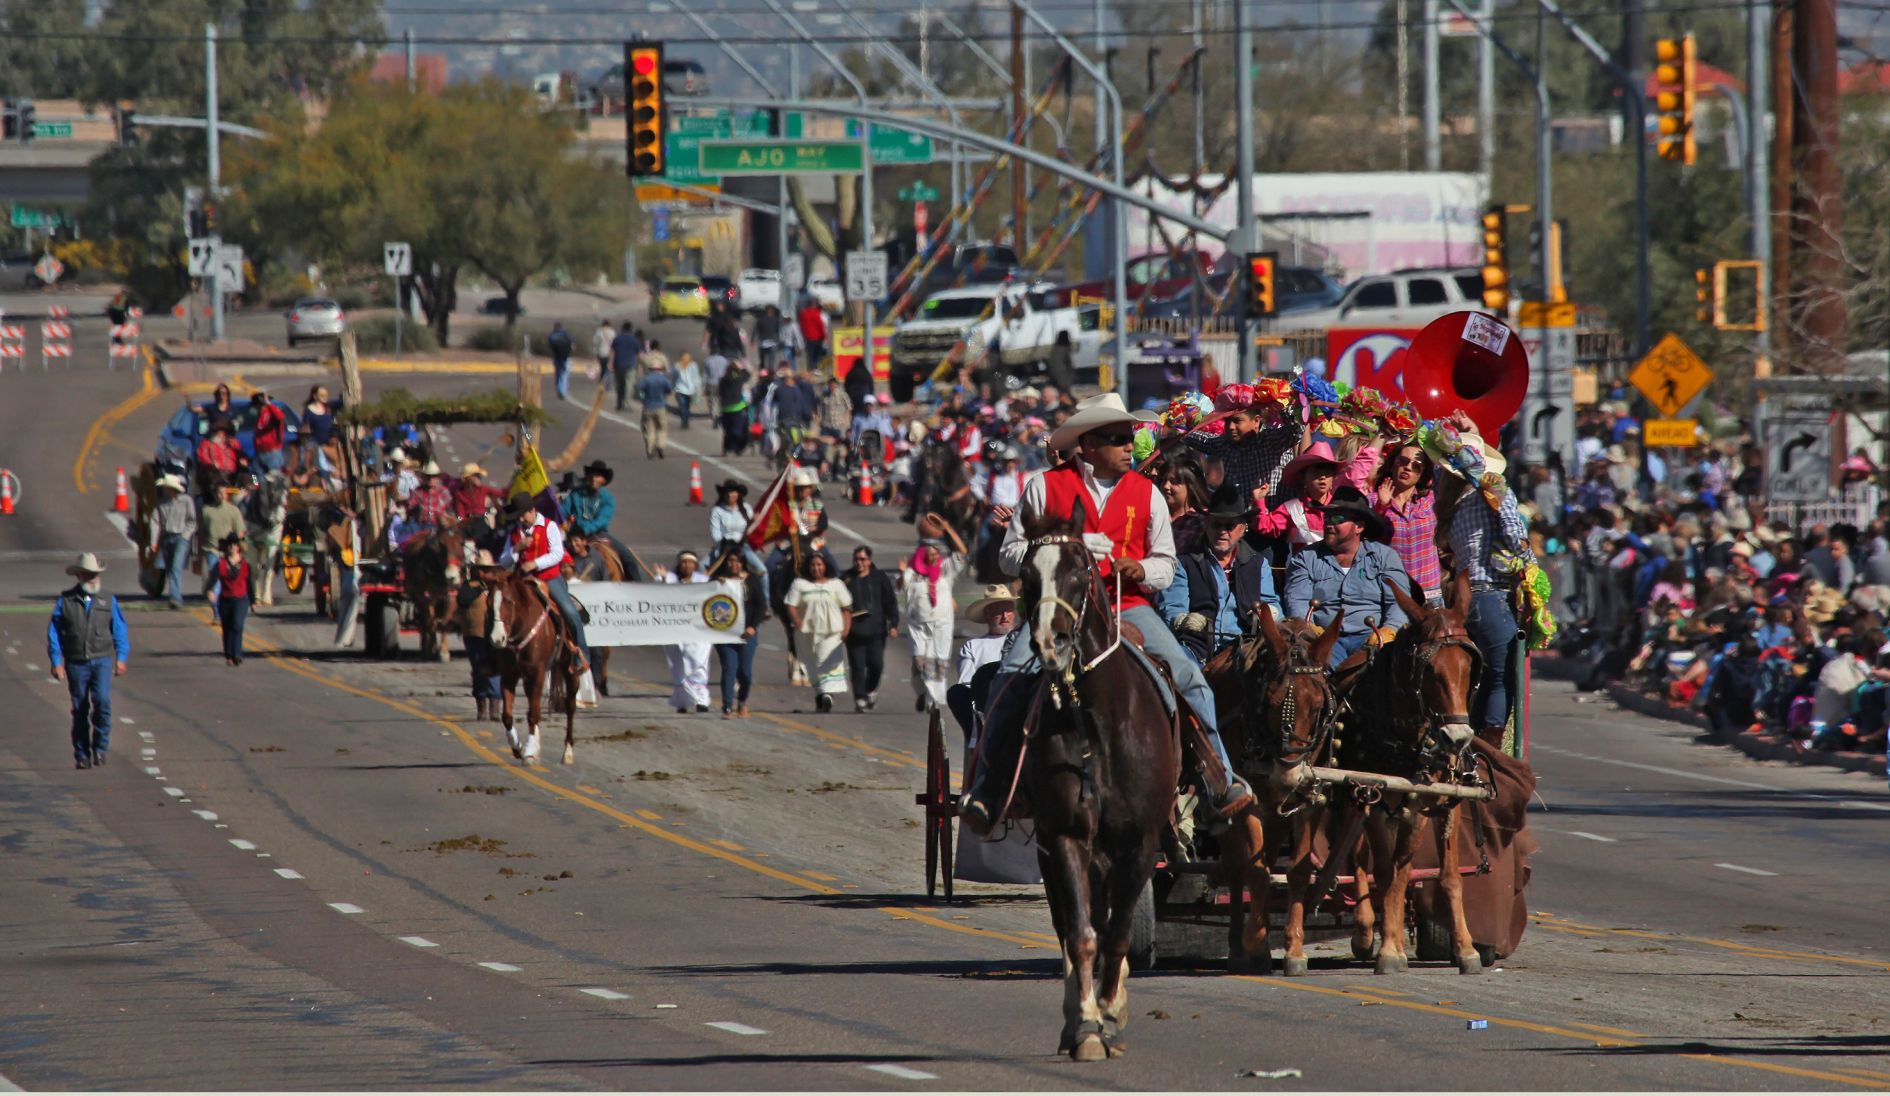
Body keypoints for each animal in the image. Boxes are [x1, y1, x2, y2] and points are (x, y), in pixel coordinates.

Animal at [483, 570, 578, 767]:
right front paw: (518, 747)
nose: (497, 639)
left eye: (509, 601)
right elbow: (507, 715)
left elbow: (533, 713)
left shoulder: (537, 673)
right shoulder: (509, 675)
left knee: (570, 706)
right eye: (488, 603)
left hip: (570, 672)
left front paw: (529, 753)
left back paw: (567, 752)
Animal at [1020, 502, 1179, 1058]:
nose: (1051, 643)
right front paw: (1088, 1023)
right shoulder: (1066, 835)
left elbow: (1117, 934)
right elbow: (1082, 934)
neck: (1100, 721)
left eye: (1078, 571)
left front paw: (1111, 1012)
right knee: (1070, 924)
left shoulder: (1140, 842)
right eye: (1026, 575)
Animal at [1209, 608, 1360, 975]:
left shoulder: (1311, 795)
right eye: (1271, 702)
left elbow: (1297, 871)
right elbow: (1257, 871)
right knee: (1236, 866)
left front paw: (1294, 948)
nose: (1290, 774)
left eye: (1320, 706)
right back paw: (1239, 946)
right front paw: (1256, 941)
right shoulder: (1248, 799)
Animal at [1345, 574, 1489, 975]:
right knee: (1356, 857)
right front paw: (1389, 949)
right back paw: (1364, 932)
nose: (1457, 737)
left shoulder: (1431, 803)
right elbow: (1386, 872)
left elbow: (1437, 875)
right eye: (1429, 670)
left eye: (1470, 668)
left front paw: (1465, 948)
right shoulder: (1377, 801)